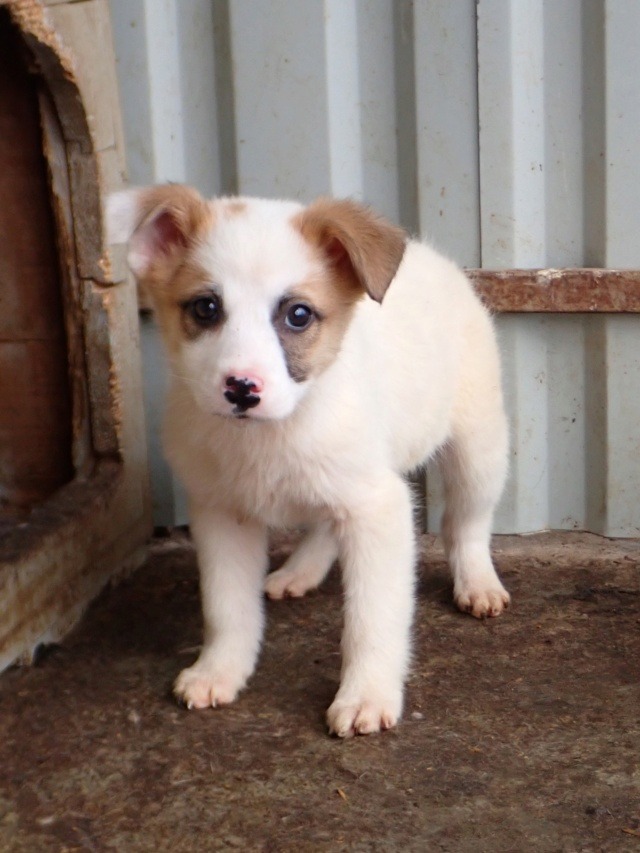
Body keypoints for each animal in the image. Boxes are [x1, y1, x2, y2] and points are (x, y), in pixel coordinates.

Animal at [107, 185, 510, 737]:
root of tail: (431, 256)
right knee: (324, 525)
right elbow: (226, 608)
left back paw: (477, 583)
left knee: (466, 523)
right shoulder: (220, 514)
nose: (241, 389)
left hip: (478, 448)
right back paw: (299, 572)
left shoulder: (378, 509)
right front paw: (220, 670)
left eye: (298, 315)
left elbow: (371, 619)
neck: (275, 431)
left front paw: (366, 694)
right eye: (206, 308)